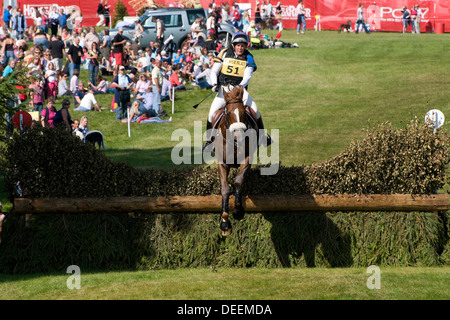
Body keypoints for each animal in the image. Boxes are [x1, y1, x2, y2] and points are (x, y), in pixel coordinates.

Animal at [212, 85, 258, 238]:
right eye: (228, 113)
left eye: (244, 112)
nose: (240, 137)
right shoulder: (222, 163)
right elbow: (225, 189)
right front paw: (225, 222)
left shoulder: (247, 159)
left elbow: (238, 181)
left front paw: (238, 211)